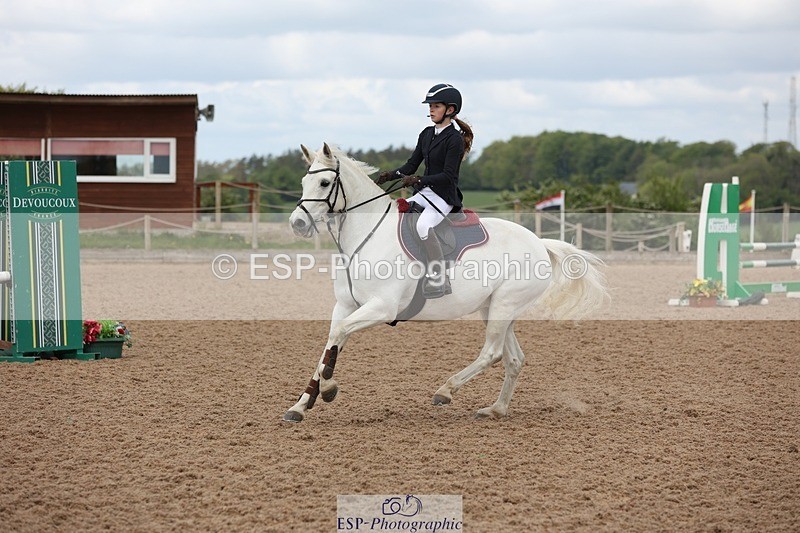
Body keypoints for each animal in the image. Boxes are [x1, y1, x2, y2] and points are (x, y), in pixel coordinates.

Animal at [284, 143, 608, 422]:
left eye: (324, 183)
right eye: (303, 181)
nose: (297, 224)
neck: (367, 236)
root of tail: (539, 242)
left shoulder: (382, 308)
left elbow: (337, 337)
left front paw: (328, 390)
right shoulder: (345, 306)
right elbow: (330, 345)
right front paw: (300, 406)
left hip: (504, 304)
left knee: (492, 352)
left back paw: (446, 391)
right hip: (496, 308)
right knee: (513, 358)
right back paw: (496, 409)